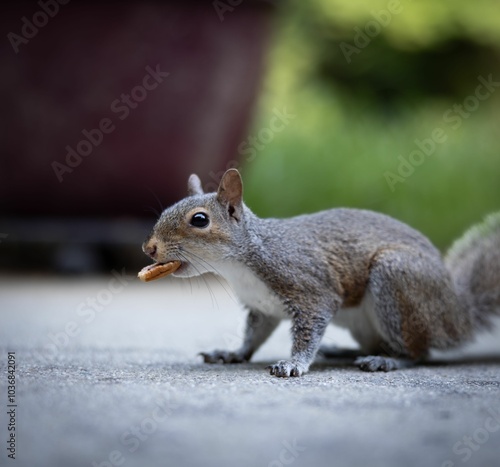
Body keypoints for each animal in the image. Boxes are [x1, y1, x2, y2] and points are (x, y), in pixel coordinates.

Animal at [142, 168, 500, 376]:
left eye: (200, 220)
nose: (150, 248)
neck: (240, 264)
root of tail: (456, 311)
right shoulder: (262, 308)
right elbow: (253, 336)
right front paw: (231, 354)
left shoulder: (310, 288)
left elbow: (308, 329)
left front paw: (293, 364)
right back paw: (346, 351)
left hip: (397, 283)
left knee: (420, 351)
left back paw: (388, 359)